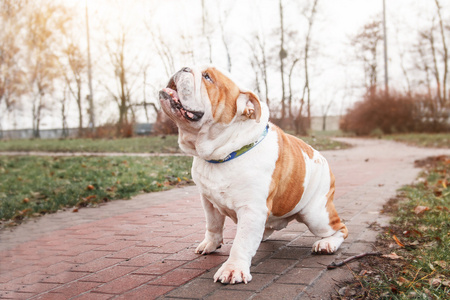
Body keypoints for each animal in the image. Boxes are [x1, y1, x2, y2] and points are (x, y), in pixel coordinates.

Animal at [158, 67, 348, 284]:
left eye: (207, 77)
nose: (184, 68)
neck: (222, 153)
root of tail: (322, 158)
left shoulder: (251, 209)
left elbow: (241, 243)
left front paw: (233, 268)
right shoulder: (208, 202)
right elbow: (213, 225)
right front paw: (210, 244)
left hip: (316, 214)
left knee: (340, 228)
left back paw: (327, 244)